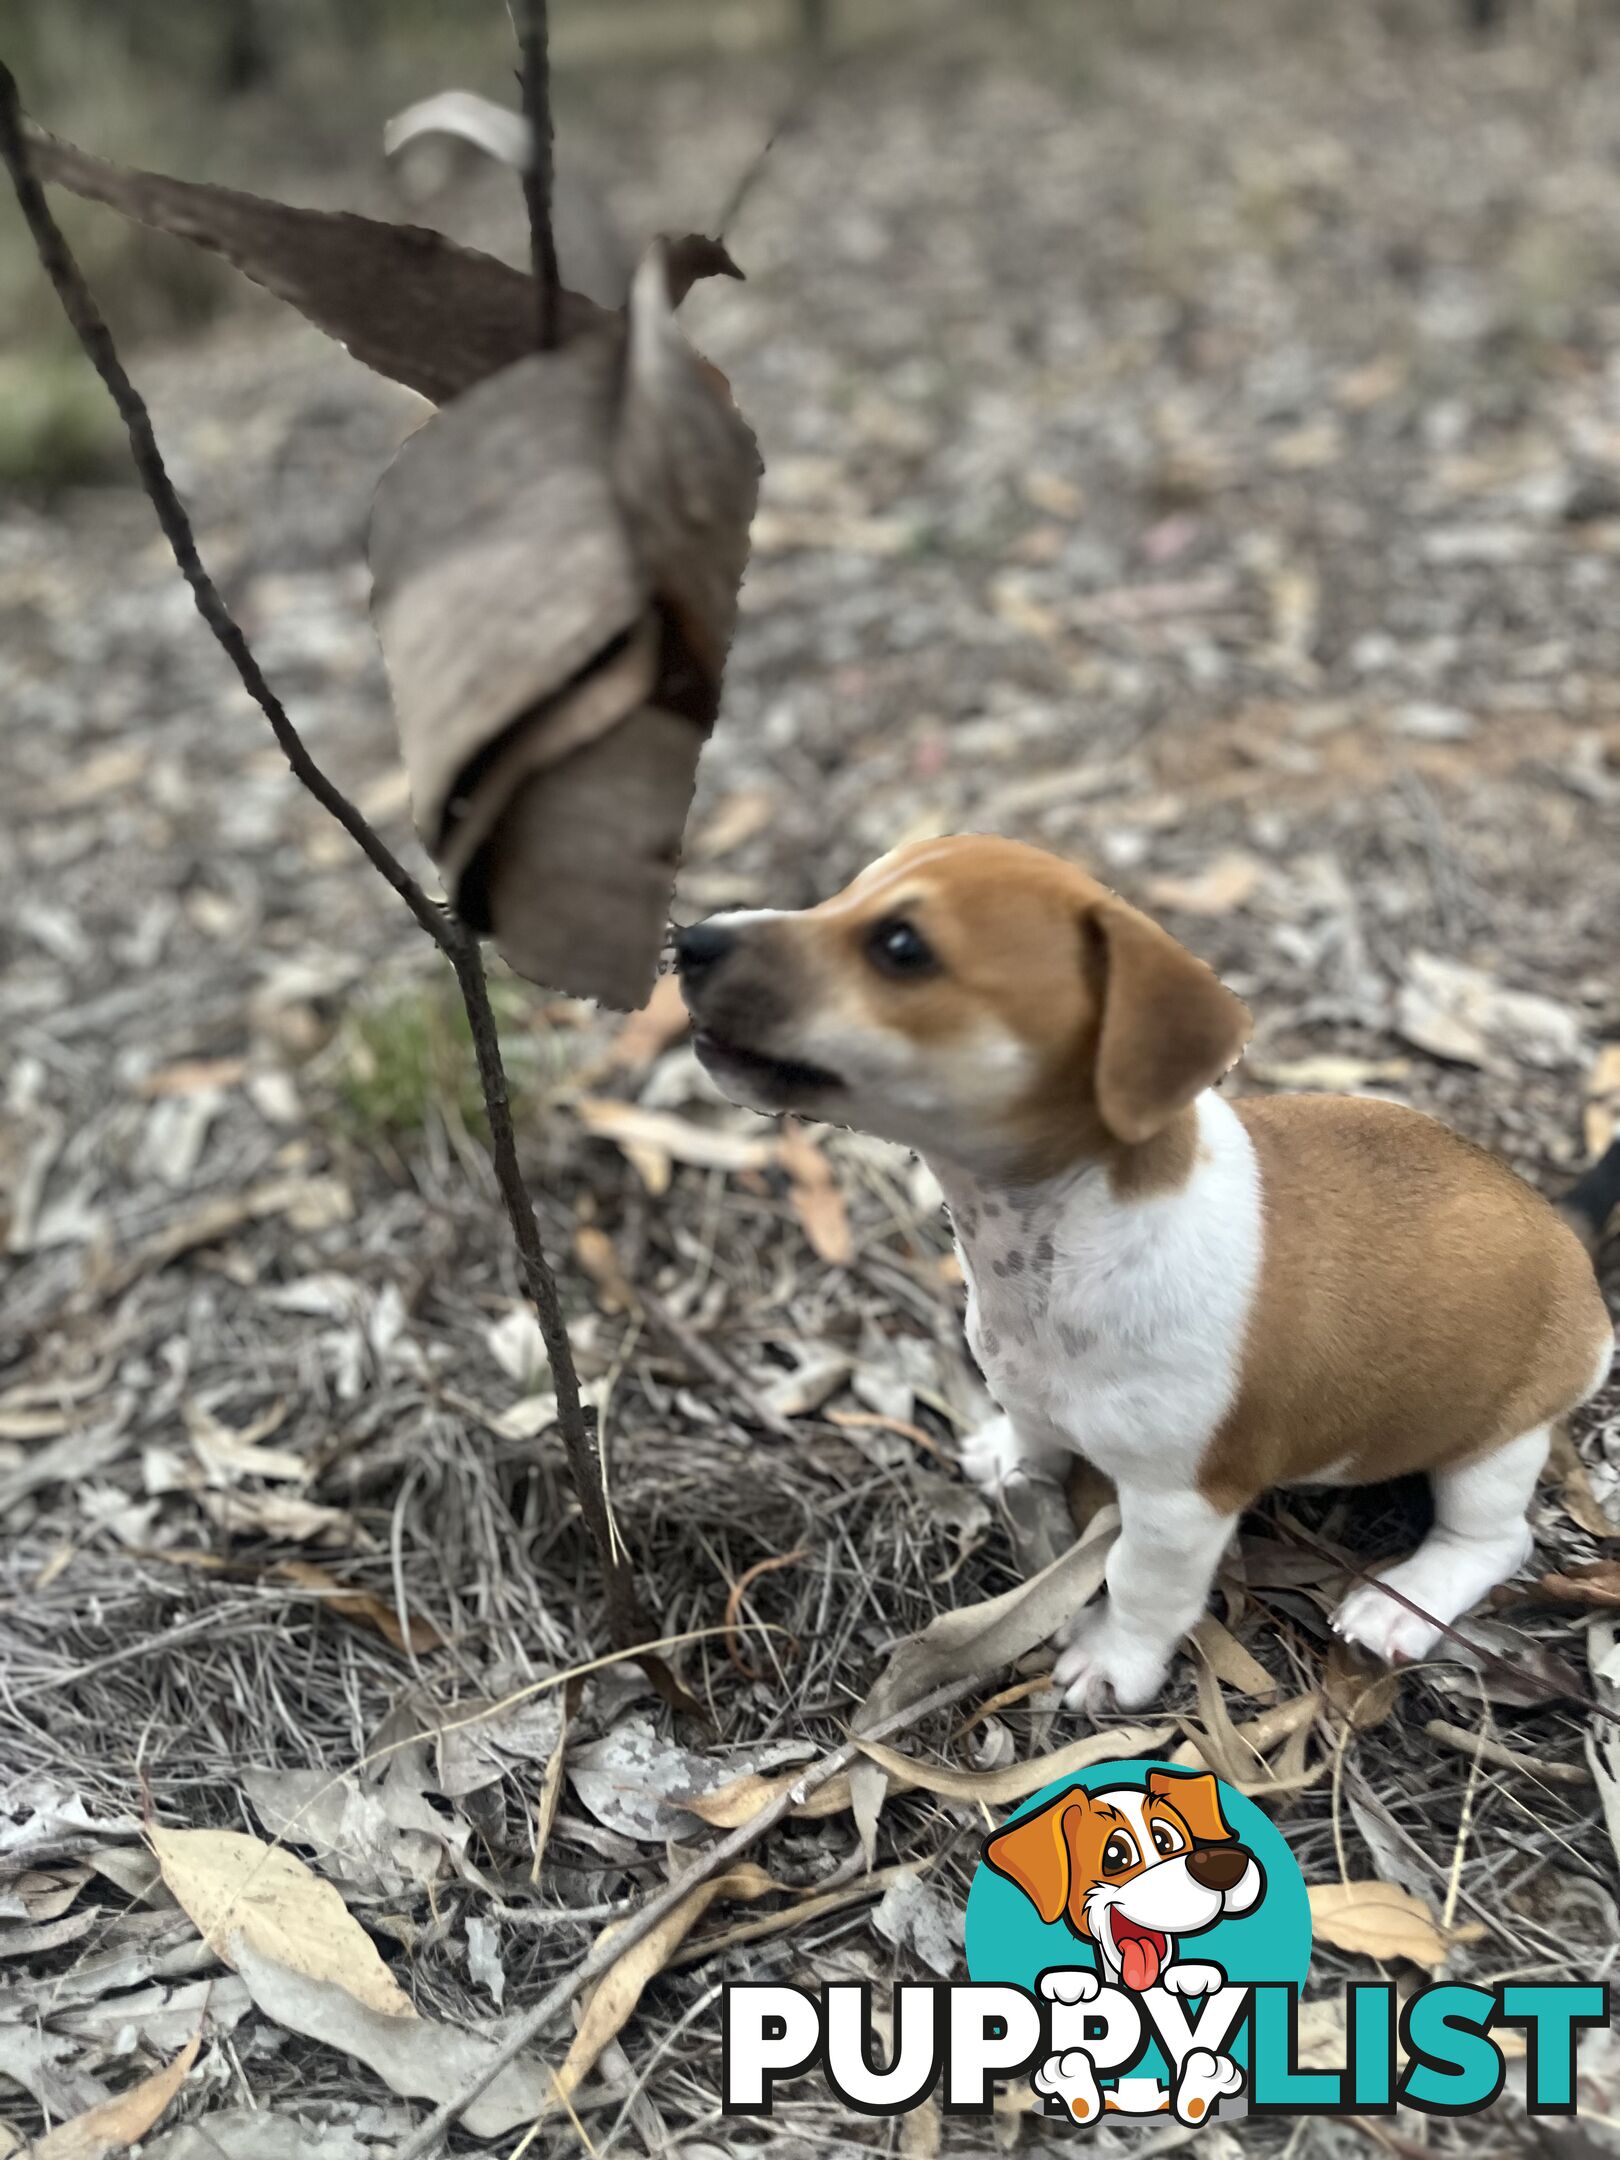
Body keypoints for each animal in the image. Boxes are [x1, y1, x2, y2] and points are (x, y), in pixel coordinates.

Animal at [678, 833, 1615, 1710]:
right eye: (842, 894)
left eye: (901, 946)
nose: (689, 940)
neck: (1067, 1235)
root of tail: (1559, 1224)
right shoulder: (1035, 1395)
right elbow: (1031, 1434)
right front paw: (1002, 1450)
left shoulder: (1179, 1504)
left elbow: (1139, 1583)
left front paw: (1113, 1661)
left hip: (1495, 1443)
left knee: (1496, 1538)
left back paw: (1403, 1600)